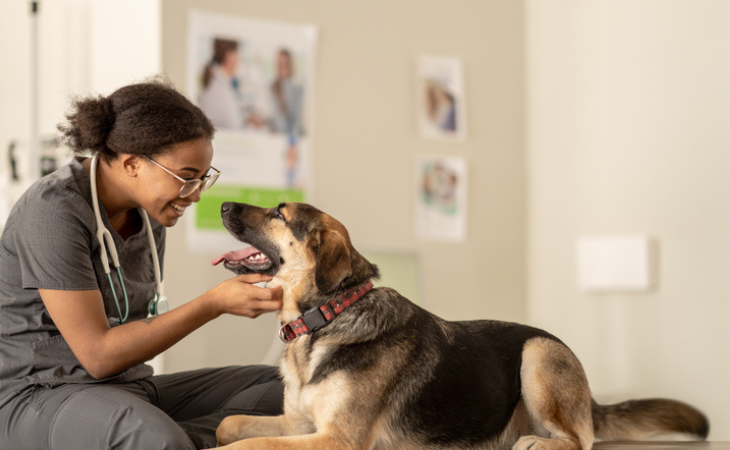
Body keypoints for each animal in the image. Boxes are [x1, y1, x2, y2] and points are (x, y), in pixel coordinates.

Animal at [213, 202, 708, 448]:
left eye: (279, 214)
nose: (222, 202)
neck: (326, 318)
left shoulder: (337, 439)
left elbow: (245, 447)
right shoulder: (300, 425)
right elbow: (229, 427)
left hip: (538, 353)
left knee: (581, 439)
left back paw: (540, 443)